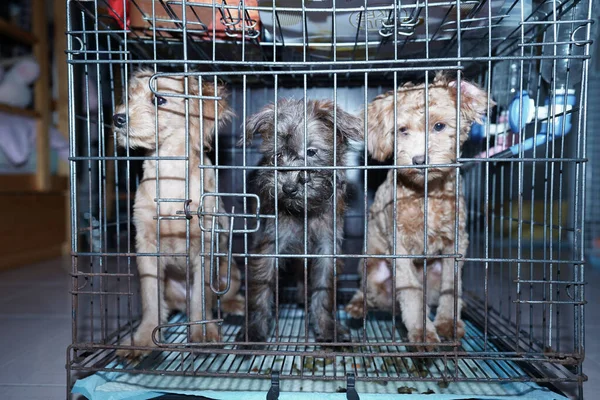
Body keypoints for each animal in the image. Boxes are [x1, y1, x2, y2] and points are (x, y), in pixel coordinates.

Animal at [112, 69, 244, 360]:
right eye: (128, 97)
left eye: (159, 99)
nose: (117, 118)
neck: (170, 174)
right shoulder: (147, 248)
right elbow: (151, 300)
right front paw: (143, 338)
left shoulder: (204, 248)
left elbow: (201, 299)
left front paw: (202, 335)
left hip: (231, 271)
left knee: (218, 297)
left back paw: (233, 305)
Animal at [238, 97, 360, 344]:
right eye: (277, 156)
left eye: (311, 152)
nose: (288, 187)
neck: (304, 211)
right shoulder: (269, 246)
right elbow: (261, 289)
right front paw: (253, 330)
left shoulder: (326, 248)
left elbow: (323, 289)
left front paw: (327, 328)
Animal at [346, 72, 492, 350]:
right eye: (402, 130)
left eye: (439, 126)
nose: (419, 160)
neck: (427, 193)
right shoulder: (399, 247)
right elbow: (412, 292)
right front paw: (422, 333)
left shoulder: (455, 243)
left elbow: (451, 287)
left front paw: (447, 323)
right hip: (371, 265)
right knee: (366, 291)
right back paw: (358, 306)